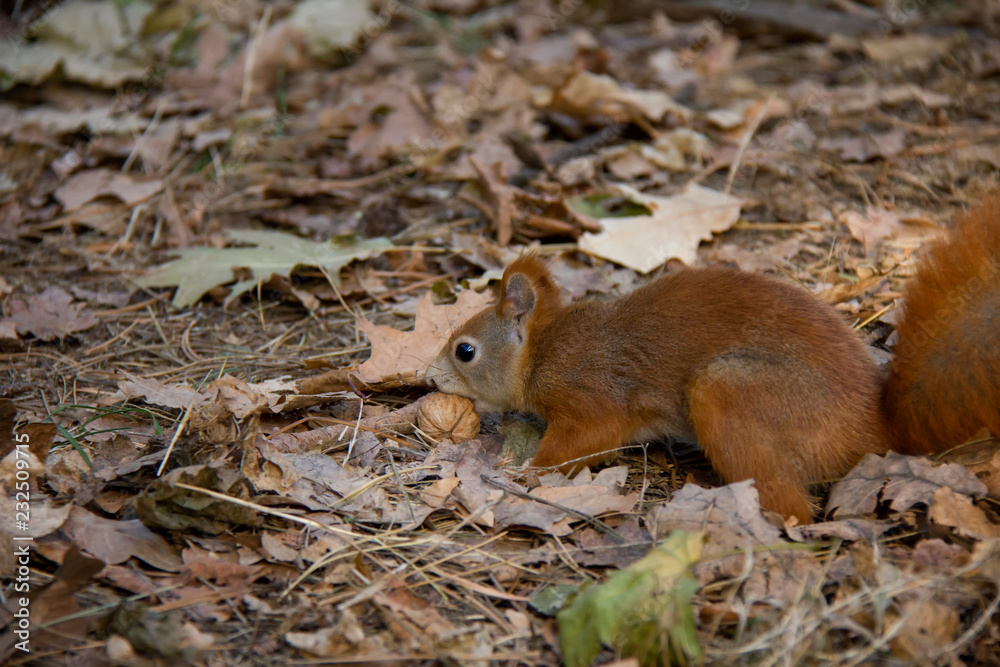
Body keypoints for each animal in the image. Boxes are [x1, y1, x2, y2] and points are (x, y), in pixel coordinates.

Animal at [427, 193, 1000, 524]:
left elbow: (582, 441)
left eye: (465, 350)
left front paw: (527, 474)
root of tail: (874, 430)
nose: (429, 378)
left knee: (794, 509)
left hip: (729, 393)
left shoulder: (590, 396)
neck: (541, 352)